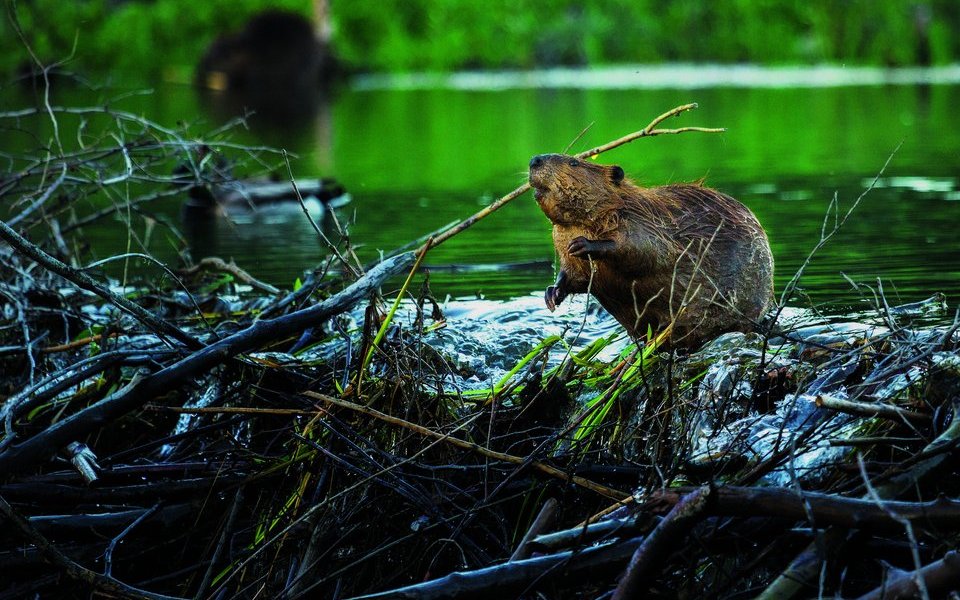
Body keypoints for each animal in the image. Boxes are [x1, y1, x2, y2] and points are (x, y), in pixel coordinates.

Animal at [528, 154, 776, 346]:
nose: (534, 160)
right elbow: (574, 275)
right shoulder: (560, 238)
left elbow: (647, 251)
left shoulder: (640, 221)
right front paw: (552, 294)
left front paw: (583, 244)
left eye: (574, 163)